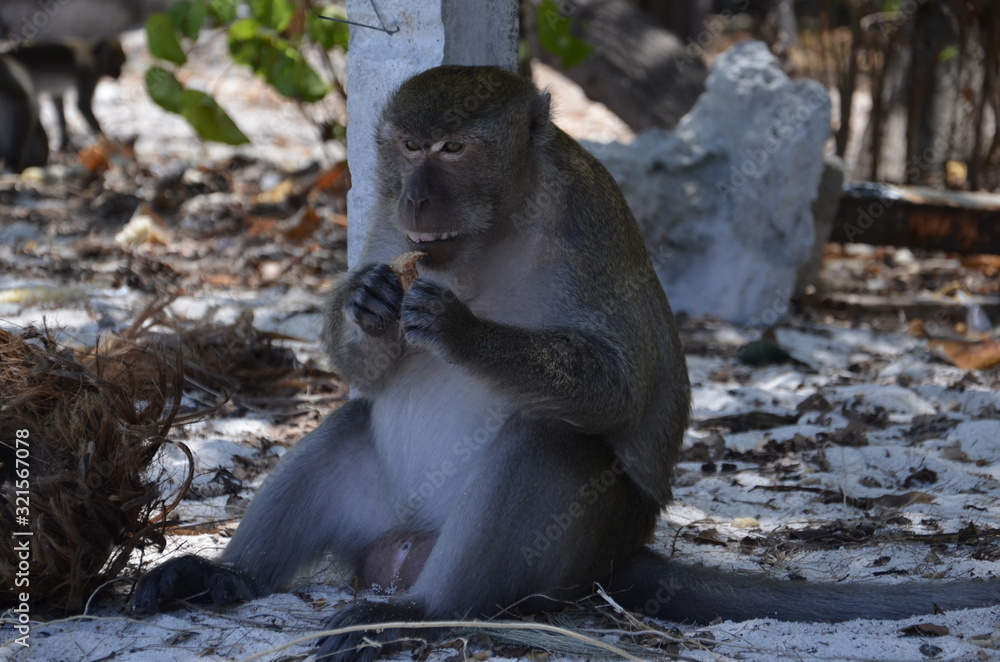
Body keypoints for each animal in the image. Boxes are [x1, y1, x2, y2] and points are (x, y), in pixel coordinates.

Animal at [132, 66, 1000, 662]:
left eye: (455, 148)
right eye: (410, 146)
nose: (417, 198)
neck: (491, 230)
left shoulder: (585, 222)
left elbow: (620, 384)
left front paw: (460, 330)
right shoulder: (386, 222)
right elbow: (366, 376)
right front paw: (369, 304)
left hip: (576, 544)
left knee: (545, 443)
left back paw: (430, 611)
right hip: (383, 515)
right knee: (351, 424)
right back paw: (228, 578)